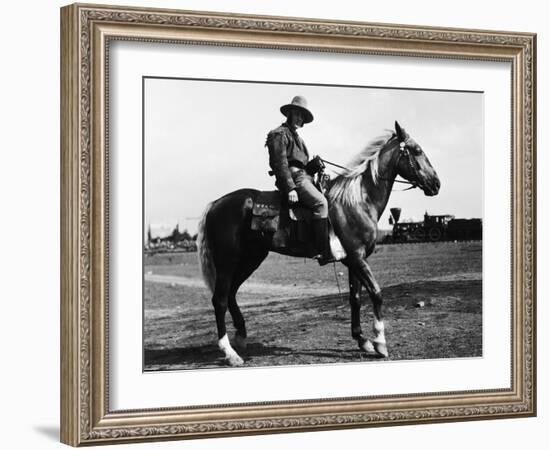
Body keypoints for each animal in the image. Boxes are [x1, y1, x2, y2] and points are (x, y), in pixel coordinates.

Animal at [196, 120, 442, 366]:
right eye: (417, 150)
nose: (436, 184)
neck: (358, 202)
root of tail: (215, 204)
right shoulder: (358, 258)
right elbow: (376, 293)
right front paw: (380, 342)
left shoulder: (353, 261)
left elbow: (355, 298)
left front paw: (362, 340)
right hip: (227, 262)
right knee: (220, 300)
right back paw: (230, 352)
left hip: (250, 259)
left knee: (231, 294)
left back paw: (241, 337)